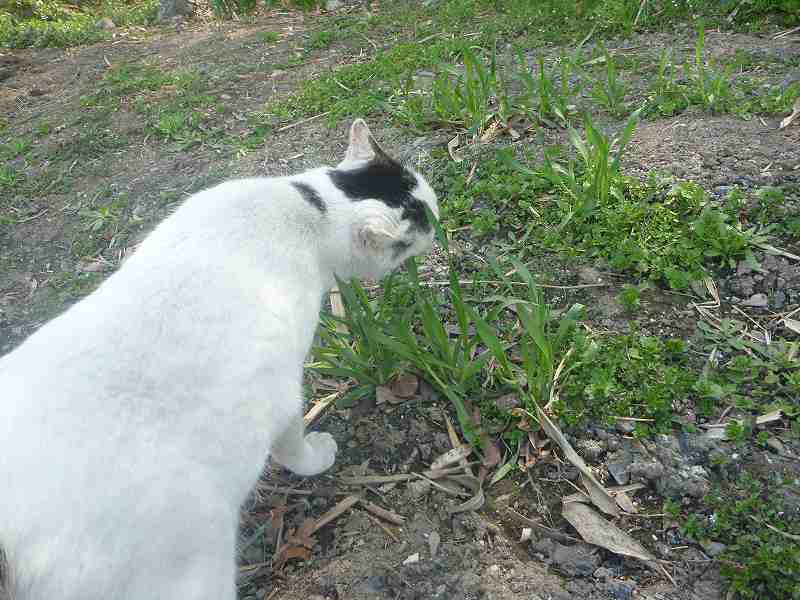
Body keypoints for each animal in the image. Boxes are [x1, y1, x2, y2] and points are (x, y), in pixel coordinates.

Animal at [0, 118, 438, 600]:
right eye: (422, 228)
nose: (439, 224)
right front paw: (316, 457)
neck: (308, 209)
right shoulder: (281, 391)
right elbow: (292, 446)